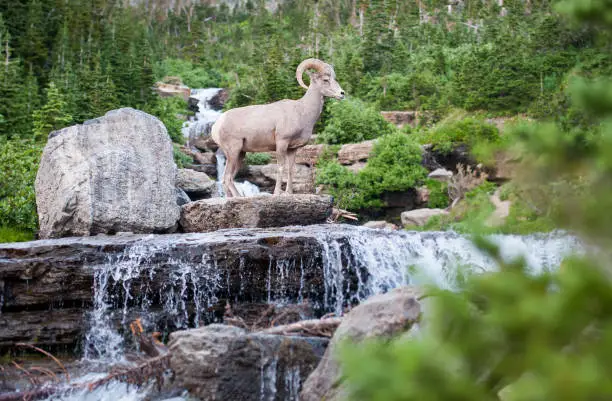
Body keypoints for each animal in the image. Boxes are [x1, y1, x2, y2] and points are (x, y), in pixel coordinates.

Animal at [210, 58, 344, 197]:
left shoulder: (292, 149)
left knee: (229, 177)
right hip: (233, 151)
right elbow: (280, 167)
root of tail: (217, 124)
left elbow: (291, 169)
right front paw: (277, 193)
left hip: (240, 154)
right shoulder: (281, 143)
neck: (302, 111)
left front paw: (289, 193)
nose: (342, 93)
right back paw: (239, 197)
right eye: (325, 80)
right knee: (227, 177)